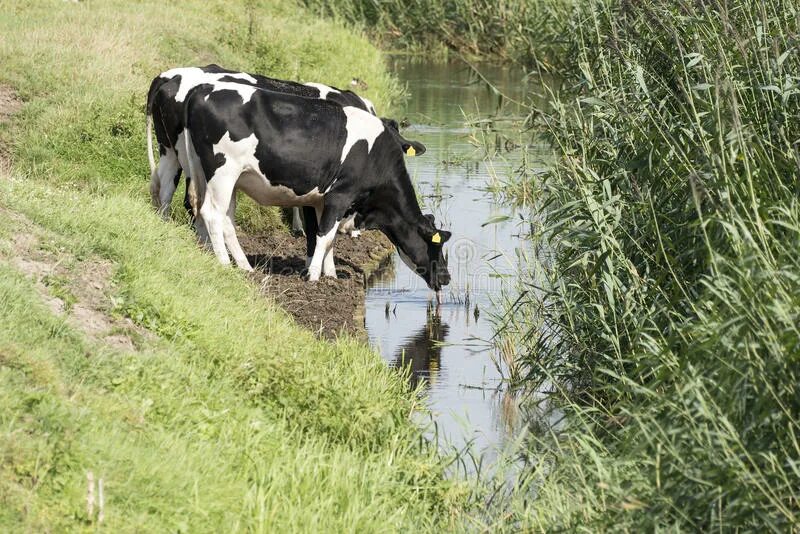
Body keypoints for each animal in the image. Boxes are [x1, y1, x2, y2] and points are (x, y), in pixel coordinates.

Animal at [184, 84, 454, 292]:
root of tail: (202, 89)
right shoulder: (340, 196)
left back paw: (238, 264)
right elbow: (324, 236)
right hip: (223, 172)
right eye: (436, 245)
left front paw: (330, 275)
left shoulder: (321, 200)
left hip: (216, 175)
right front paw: (314, 277)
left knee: (220, 217)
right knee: (212, 214)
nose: (446, 277)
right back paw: (223, 263)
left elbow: (326, 238)